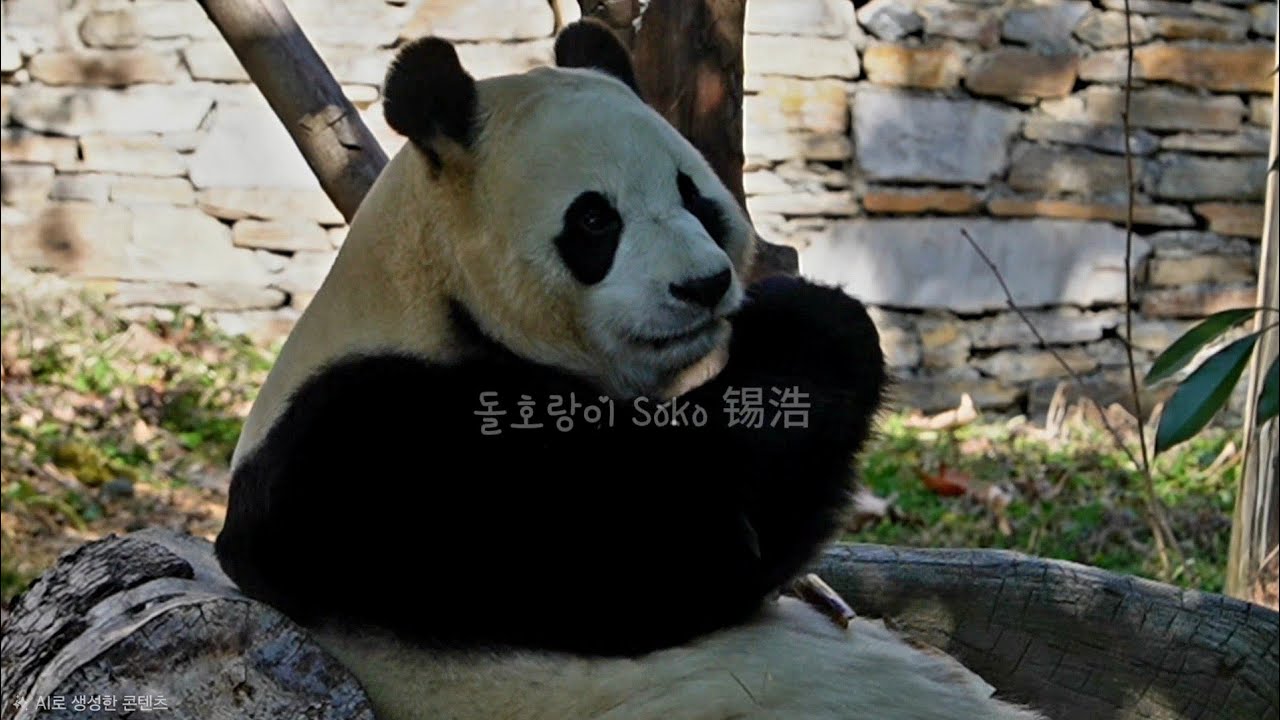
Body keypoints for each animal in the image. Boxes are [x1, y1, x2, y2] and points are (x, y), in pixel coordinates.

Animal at [214, 19, 1044, 720]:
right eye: (594, 219)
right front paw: (814, 317)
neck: (428, 295)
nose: (703, 286)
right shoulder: (371, 448)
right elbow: (675, 548)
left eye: (695, 196)